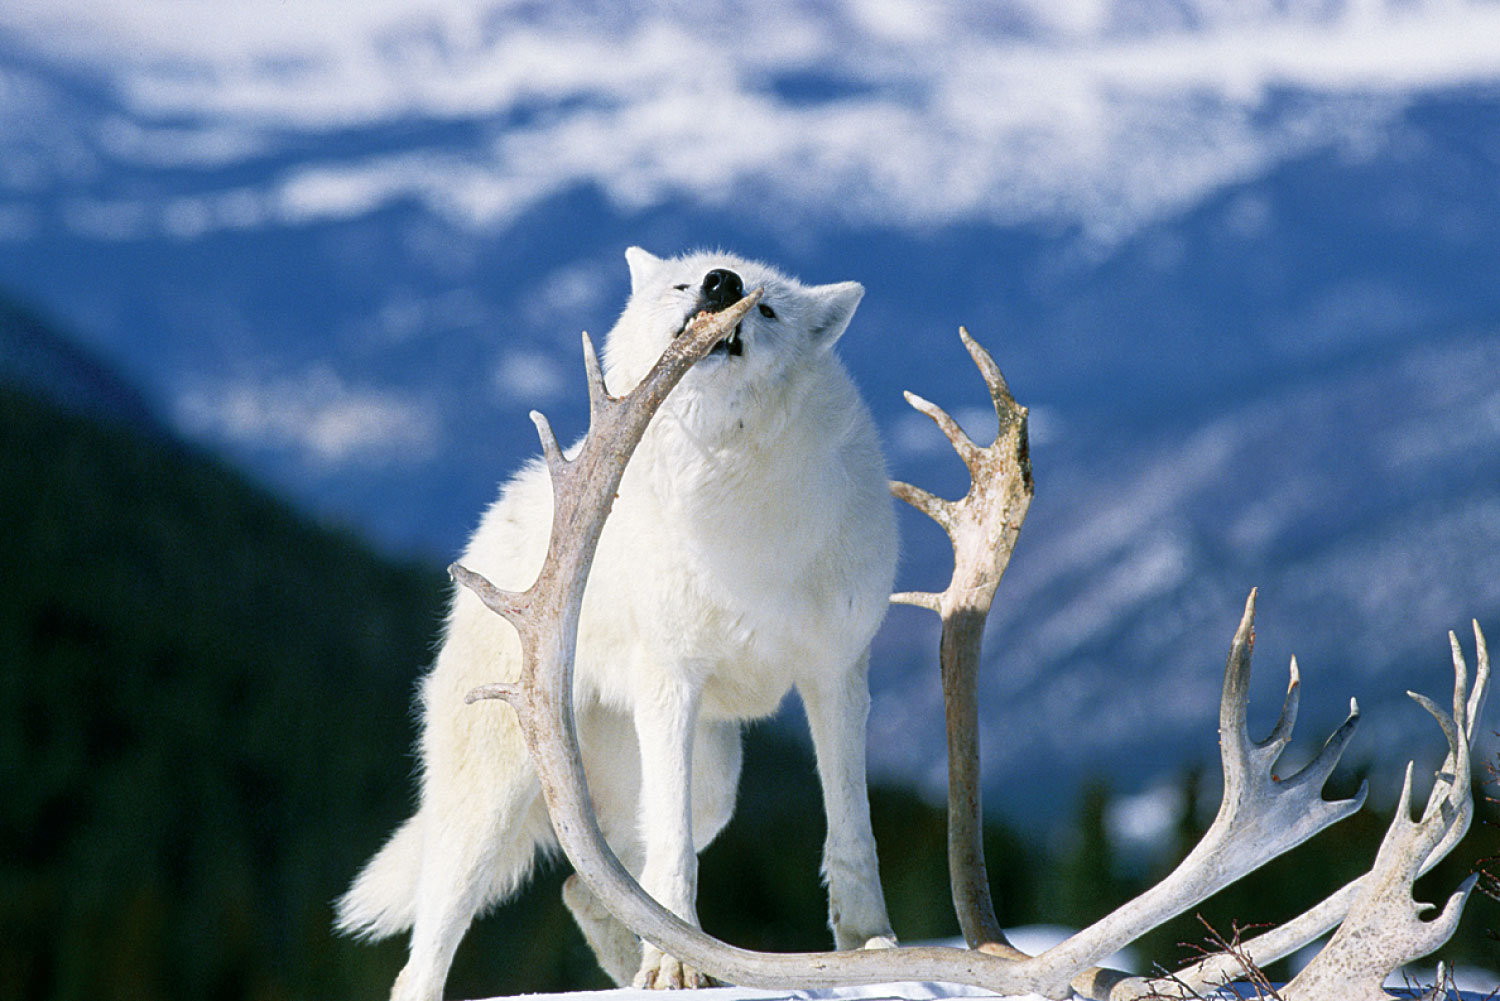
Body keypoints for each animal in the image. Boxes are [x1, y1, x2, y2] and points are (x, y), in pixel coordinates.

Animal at [339, 246, 894, 996]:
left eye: (771, 308)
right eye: (683, 284)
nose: (723, 282)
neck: (735, 503)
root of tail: (494, 521)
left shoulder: (836, 676)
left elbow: (851, 832)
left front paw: (870, 948)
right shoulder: (670, 683)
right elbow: (675, 860)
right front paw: (679, 965)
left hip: (713, 785)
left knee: (588, 886)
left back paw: (645, 969)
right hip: (493, 806)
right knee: (426, 958)